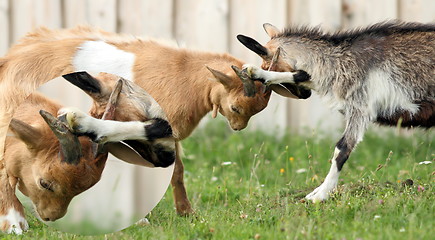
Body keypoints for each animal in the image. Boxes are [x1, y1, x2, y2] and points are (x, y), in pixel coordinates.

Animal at [0, 25, 272, 232]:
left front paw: (186, 213)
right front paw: (144, 219)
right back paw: (14, 223)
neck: (183, 72)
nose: (237, 127)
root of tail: (11, 59)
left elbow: (178, 171)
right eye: (236, 107)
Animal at [238, 21, 435, 202]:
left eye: (268, 65)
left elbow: (341, 149)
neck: (338, 61)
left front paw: (321, 194)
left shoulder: (360, 107)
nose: (304, 95)